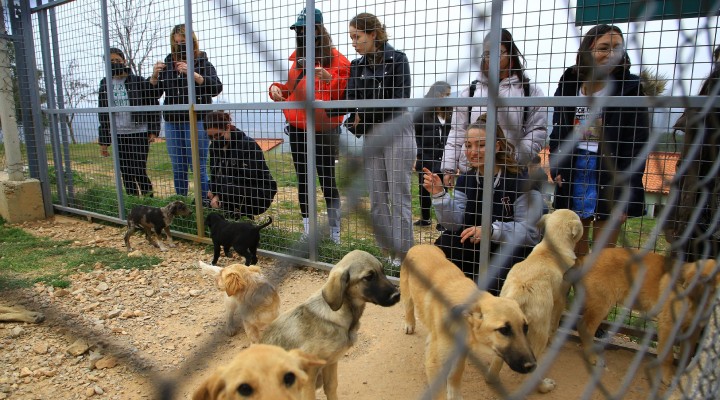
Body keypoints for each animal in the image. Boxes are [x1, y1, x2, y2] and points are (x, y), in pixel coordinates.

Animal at [260, 250, 404, 400]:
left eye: (383, 271)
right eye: (368, 277)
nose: (397, 295)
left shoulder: (331, 363)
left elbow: (331, 388)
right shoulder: (308, 374)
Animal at [402, 244, 536, 400]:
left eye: (525, 328)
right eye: (503, 330)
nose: (532, 366)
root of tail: (421, 245)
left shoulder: (461, 351)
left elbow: (456, 374)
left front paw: (454, 395)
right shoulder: (434, 363)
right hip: (407, 293)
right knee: (409, 307)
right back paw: (409, 324)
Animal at [572, 250, 720, 384]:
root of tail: (584, 258)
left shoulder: (693, 330)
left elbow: (686, 357)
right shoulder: (668, 325)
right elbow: (668, 357)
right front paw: (667, 377)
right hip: (602, 304)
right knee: (585, 328)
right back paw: (592, 356)